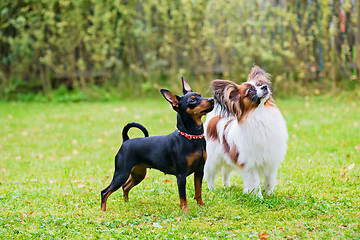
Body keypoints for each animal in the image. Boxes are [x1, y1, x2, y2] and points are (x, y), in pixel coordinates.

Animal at [204, 66, 288, 199]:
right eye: (250, 91)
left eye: (260, 84)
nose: (265, 87)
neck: (260, 113)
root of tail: (214, 119)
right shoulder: (250, 164)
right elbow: (255, 182)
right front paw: (258, 197)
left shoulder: (271, 161)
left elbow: (269, 180)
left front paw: (270, 194)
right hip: (213, 159)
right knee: (209, 175)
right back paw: (212, 189)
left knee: (225, 172)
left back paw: (226, 186)